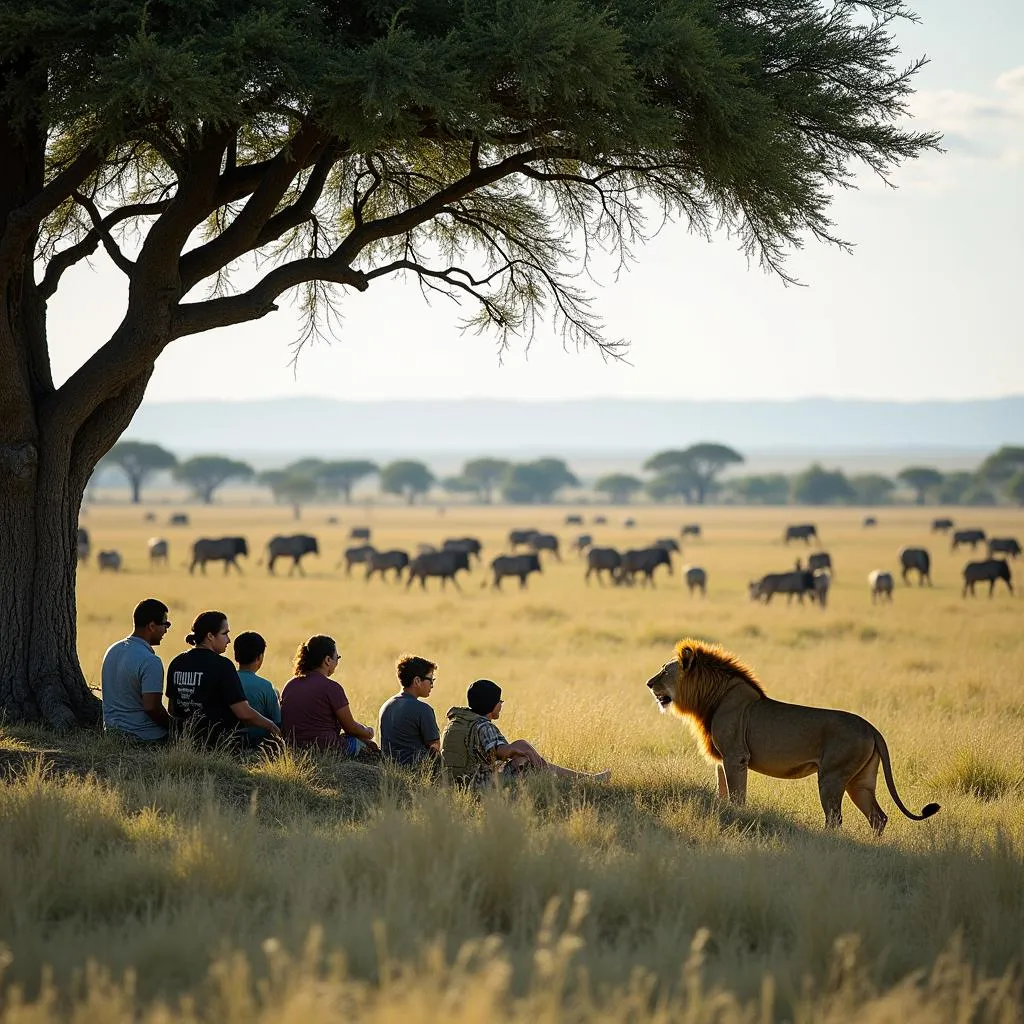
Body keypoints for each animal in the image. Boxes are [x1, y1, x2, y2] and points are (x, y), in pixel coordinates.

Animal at [643, 638, 937, 831]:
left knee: (835, 819)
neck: (710, 699)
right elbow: (723, 793)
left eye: (665, 671)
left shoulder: (736, 757)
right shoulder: (721, 760)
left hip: (831, 776)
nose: (648, 683)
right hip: (860, 781)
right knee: (878, 817)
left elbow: (737, 796)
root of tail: (872, 728)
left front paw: (737, 819)